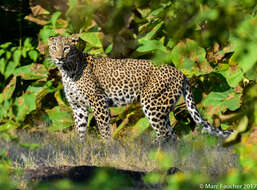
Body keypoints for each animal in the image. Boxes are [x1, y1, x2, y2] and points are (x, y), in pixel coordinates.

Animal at [47, 35, 232, 143]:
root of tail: (180, 72)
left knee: (164, 133)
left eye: (66, 48)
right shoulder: (78, 106)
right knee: (171, 134)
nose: (59, 58)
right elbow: (80, 129)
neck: (67, 71)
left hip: (152, 103)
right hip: (163, 107)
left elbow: (103, 127)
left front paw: (106, 148)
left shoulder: (98, 100)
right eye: (53, 47)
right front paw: (81, 148)